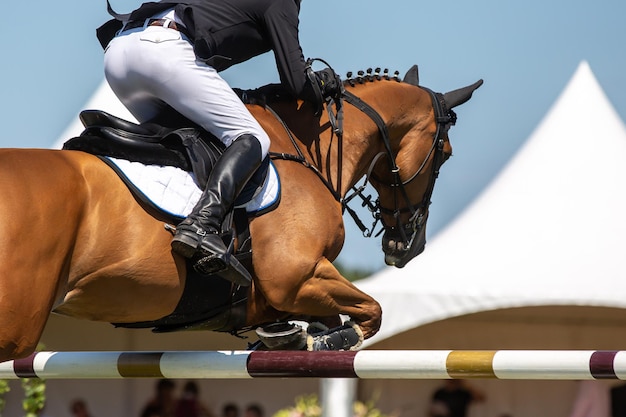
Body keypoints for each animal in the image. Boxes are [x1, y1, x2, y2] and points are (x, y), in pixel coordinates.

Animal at [0, 65, 480, 360]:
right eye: (445, 153)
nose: (409, 246)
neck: (307, 148)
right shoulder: (295, 276)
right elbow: (371, 312)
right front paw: (323, 341)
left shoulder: (276, 294)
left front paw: (289, 337)